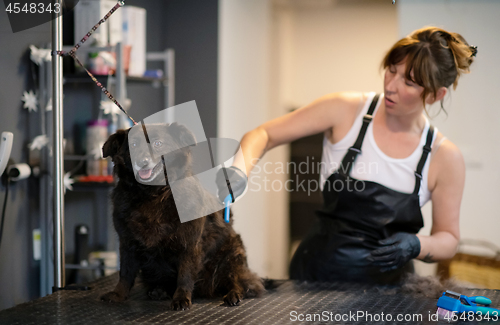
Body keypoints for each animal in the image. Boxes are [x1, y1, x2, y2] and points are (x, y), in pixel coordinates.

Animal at [99, 122, 268, 308]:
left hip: (231, 257)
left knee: (239, 281)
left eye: (158, 143)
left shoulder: (189, 243)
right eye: (133, 145)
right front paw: (118, 294)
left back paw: (234, 294)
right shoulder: (127, 242)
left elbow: (185, 275)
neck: (153, 194)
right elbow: (125, 273)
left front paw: (181, 298)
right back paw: (159, 291)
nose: (142, 162)